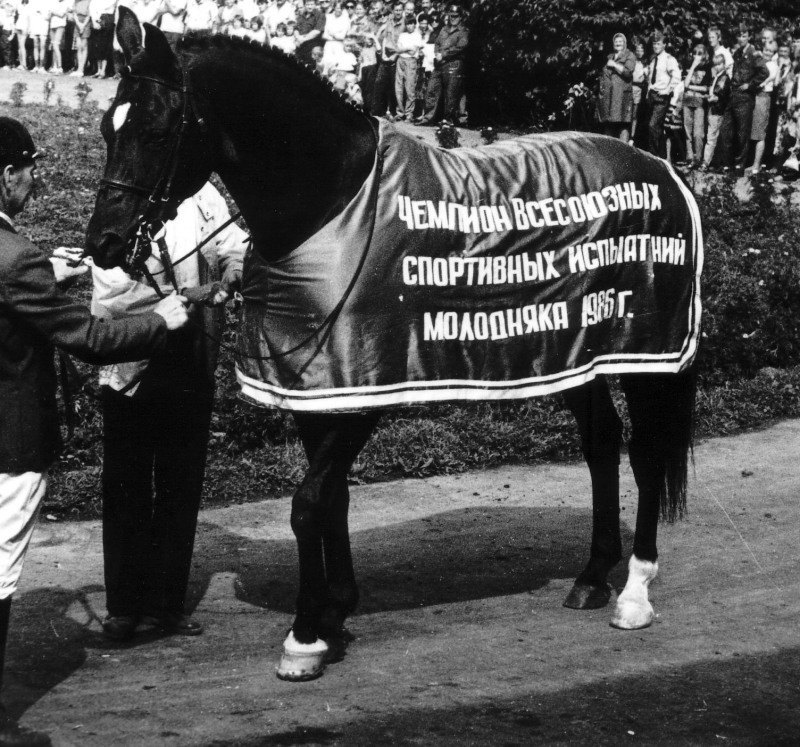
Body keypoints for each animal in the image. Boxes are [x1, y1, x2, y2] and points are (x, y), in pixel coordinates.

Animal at [87, 7, 696, 684]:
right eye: (108, 125)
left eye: (157, 130)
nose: (104, 244)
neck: (331, 203)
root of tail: (661, 169)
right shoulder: (323, 385)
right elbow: (331, 499)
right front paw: (334, 609)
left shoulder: (365, 390)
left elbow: (309, 502)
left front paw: (304, 636)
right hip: (576, 355)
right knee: (602, 444)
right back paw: (592, 575)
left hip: (647, 355)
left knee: (646, 454)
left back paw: (634, 591)